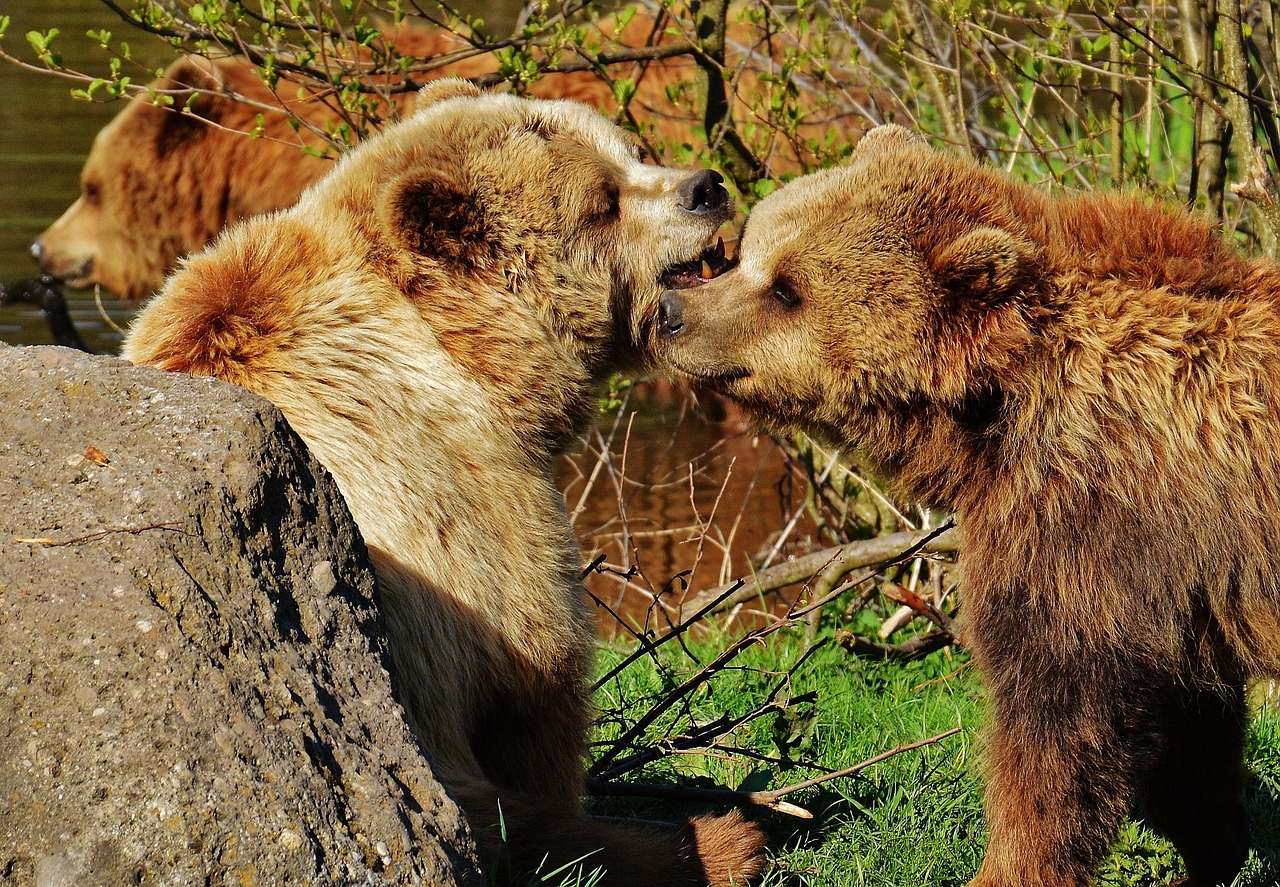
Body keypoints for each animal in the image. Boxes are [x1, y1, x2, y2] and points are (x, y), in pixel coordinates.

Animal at [120, 79, 762, 880]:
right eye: (603, 202)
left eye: (632, 150)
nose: (706, 187)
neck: (470, 353)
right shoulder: (465, 500)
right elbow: (539, 684)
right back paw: (721, 838)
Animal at [655, 124, 1280, 885]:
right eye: (748, 249)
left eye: (787, 290)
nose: (672, 311)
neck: (997, 413)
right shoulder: (1177, 583)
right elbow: (1191, 729)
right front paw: (1212, 843)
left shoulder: (1086, 525)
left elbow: (1059, 720)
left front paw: (1009, 864)